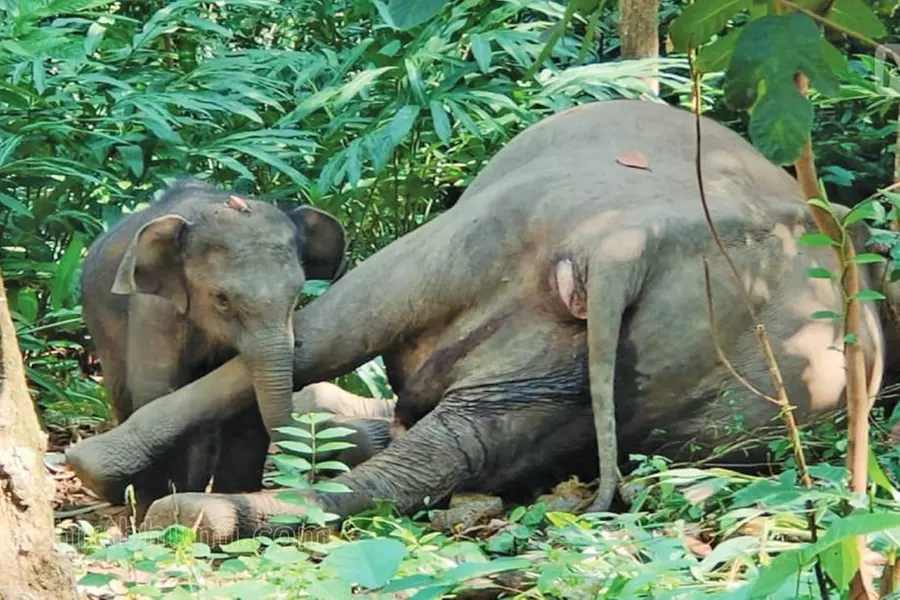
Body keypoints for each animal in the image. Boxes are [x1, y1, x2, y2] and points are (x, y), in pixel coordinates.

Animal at [78, 179, 347, 513]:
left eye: (297, 292)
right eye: (222, 299)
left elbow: (246, 408)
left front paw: (231, 497)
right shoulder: (154, 310)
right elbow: (156, 392)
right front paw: (161, 506)